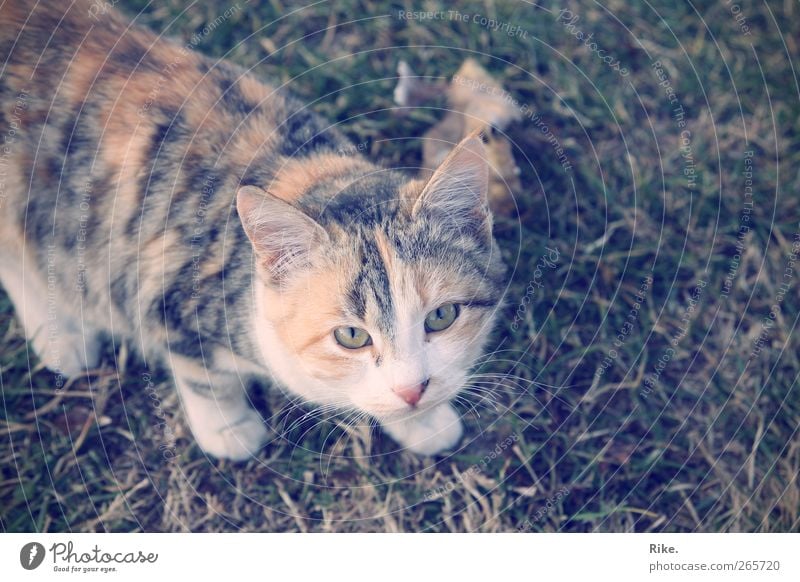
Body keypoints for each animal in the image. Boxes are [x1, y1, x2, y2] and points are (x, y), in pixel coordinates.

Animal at [1, 1, 506, 460]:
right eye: (351, 336)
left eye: (442, 316)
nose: (413, 390)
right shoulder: (159, 293)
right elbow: (202, 375)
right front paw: (228, 428)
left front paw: (422, 421)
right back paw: (61, 337)